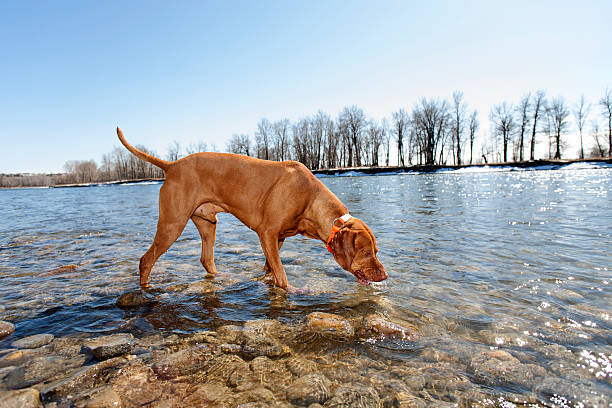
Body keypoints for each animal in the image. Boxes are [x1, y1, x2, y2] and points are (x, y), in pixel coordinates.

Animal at [117, 127, 390, 290]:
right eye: (366, 252)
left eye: (376, 251)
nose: (385, 276)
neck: (310, 198)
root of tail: (172, 165)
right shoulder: (267, 233)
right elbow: (282, 275)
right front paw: (291, 291)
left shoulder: (278, 239)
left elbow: (270, 269)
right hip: (172, 224)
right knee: (146, 260)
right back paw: (147, 290)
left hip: (208, 223)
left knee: (206, 259)